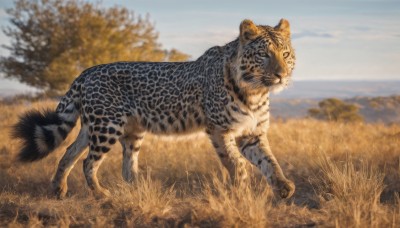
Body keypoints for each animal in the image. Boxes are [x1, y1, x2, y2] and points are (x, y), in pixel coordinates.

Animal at [12, 18, 296, 200]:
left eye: (285, 54)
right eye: (264, 55)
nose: (281, 75)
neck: (255, 90)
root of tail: (86, 72)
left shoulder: (253, 134)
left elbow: (269, 160)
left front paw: (283, 187)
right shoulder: (219, 129)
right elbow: (236, 163)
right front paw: (242, 191)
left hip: (116, 130)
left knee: (80, 156)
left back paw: (64, 190)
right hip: (106, 127)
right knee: (87, 162)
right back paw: (102, 195)